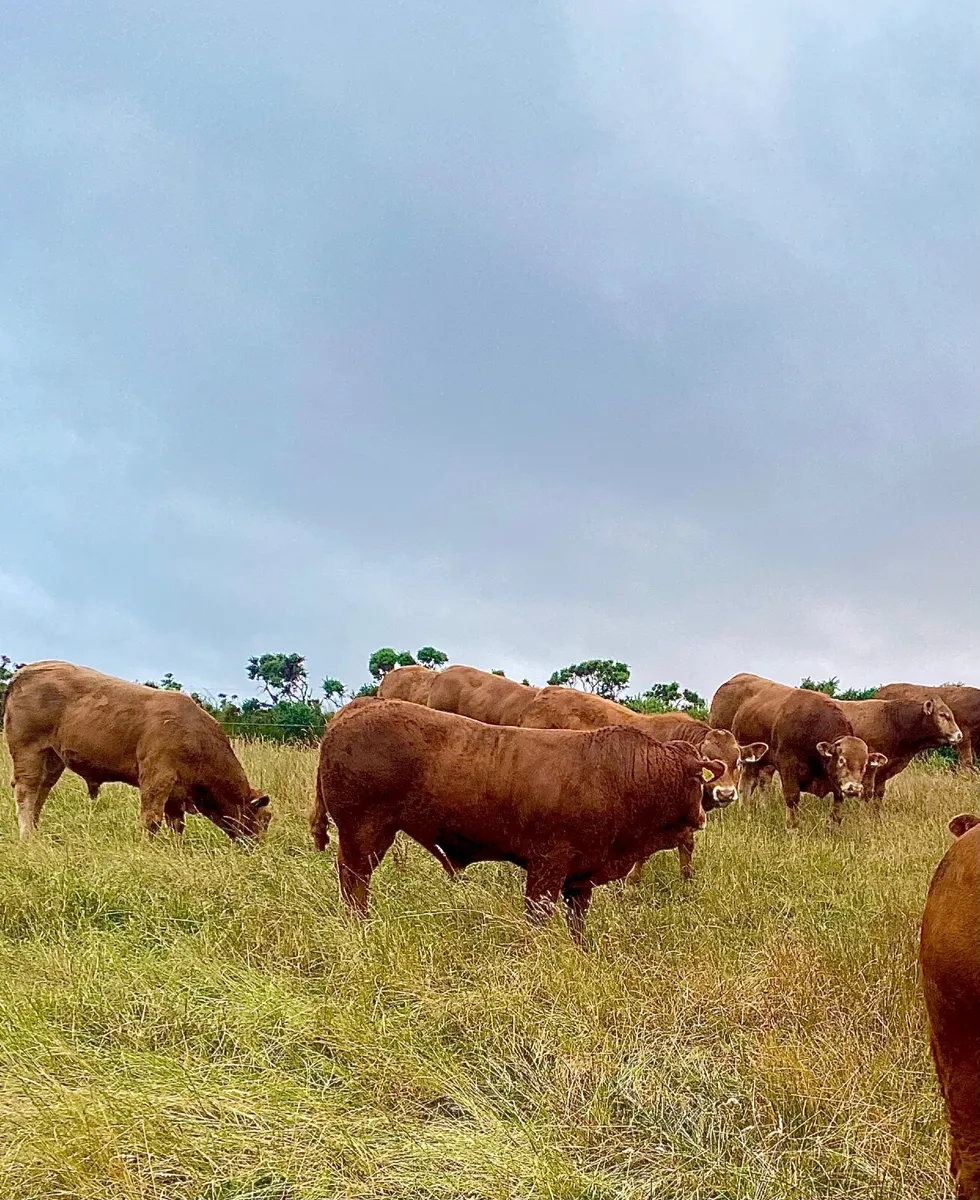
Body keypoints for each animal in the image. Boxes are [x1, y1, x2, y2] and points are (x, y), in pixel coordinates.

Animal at [3, 661, 272, 841]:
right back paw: (27, 836)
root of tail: (25, 672)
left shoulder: (176, 793)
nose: (258, 846)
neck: (197, 738)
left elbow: (176, 825)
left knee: (41, 792)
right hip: (29, 752)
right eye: (264, 819)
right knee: (27, 792)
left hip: (53, 758)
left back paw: (36, 833)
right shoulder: (158, 778)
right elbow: (152, 819)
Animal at [311, 699, 726, 945]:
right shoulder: (547, 867)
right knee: (354, 881)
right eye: (696, 778)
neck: (624, 775)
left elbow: (577, 923)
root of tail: (354, 711)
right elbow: (538, 917)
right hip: (364, 833)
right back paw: (360, 926)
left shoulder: (580, 877)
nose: (704, 814)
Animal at [732, 684, 886, 828]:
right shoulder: (788, 767)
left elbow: (837, 810)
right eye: (842, 760)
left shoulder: (835, 783)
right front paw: (792, 828)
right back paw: (744, 810)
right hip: (750, 761)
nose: (854, 788)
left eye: (865, 765)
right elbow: (792, 798)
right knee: (745, 785)